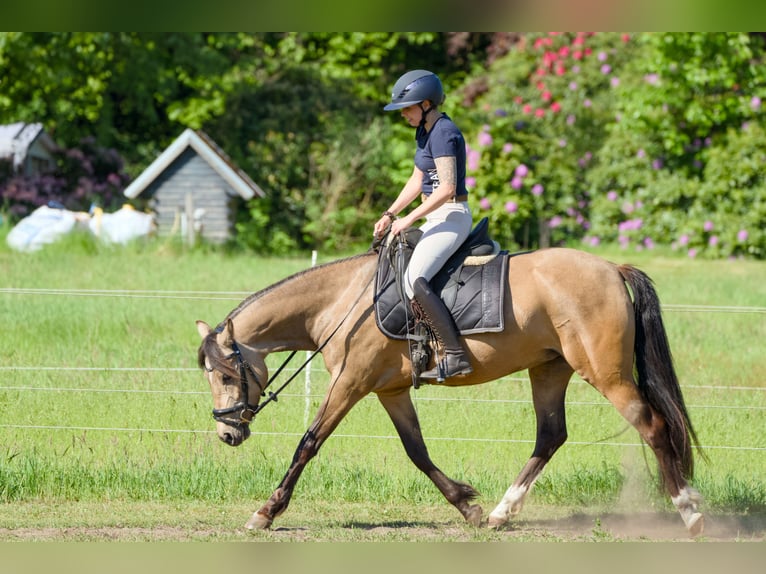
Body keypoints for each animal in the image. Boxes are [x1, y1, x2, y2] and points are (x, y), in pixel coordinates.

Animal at [196, 246, 705, 536]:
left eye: (224, 376)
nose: (227, 434)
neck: (343, 303)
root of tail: (612, 268)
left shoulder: (350, 383)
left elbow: (308, 443)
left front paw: (266, 512)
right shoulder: (390, 391)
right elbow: (417, 452)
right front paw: (467, 507)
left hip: (606, 374)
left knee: (653, 427)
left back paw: (690, 511)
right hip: (549, 369)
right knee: (550, 436)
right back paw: (500, 513)